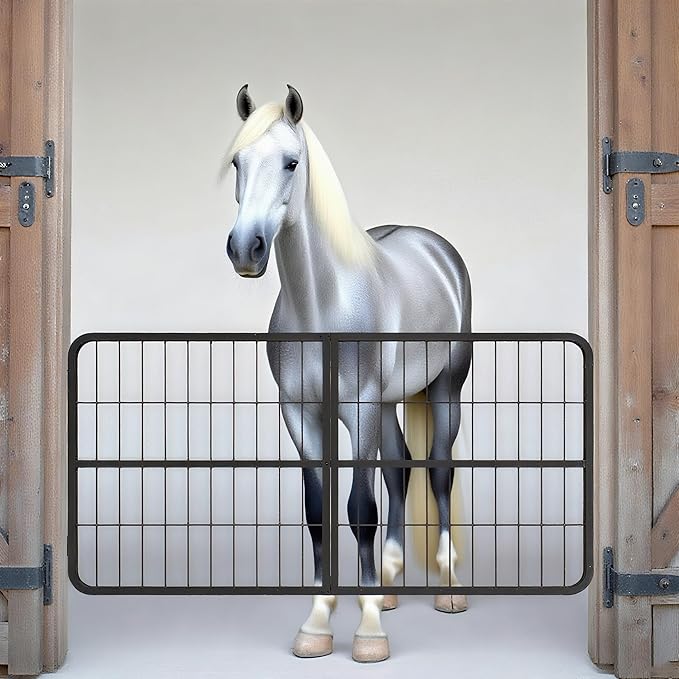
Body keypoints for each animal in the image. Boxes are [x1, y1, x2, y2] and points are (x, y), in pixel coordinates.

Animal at [224, 84, 472, 663]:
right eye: (238, 162)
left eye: (291, 162)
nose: (245, 249)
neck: (323, 306)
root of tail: (435, 248)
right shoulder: (302, 414)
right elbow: (319, 512)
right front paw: (319, 622)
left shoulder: (358, 409)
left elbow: (360, 509)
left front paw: (369, 633)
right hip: (387, 404)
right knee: (400, 469)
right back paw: (388, 585)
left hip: (444, 389)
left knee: (439, 470)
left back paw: (448, 590)